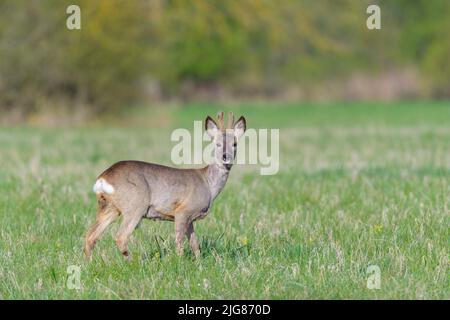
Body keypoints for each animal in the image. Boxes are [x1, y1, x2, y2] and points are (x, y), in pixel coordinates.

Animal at [84, 112, 246, 260]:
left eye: (235, 144)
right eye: (217, 144)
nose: (226, 157)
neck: (208, 184)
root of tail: (103, 178)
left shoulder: (191, 218)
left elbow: (195, 244)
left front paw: (199, 263)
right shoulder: (183, 210)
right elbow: (179, 242)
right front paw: (180, 262)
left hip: (109, 207)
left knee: (90, 236)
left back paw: (89, 264)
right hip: (135, 204)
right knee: (120, 237)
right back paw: (133, 263)